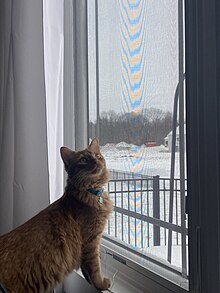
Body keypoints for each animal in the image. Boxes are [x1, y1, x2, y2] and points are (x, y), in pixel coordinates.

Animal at [0, 138, 112, 290]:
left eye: (98, 156)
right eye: (83, 159)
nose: (96, 161)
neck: (90, 192)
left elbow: (86, 270)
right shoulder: (91, 241)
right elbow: (95, 268)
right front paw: (101, 284)